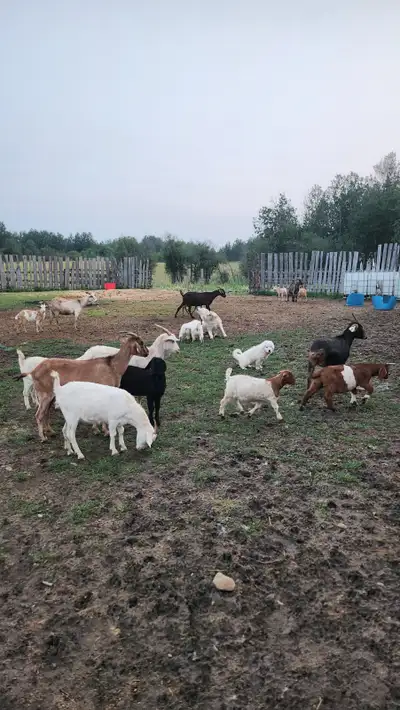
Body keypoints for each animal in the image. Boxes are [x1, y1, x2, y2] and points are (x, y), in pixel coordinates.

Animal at [15, 332, 148, 441]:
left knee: (45, 412)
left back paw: (50, 432)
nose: (147, 353)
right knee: (39, 414)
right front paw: (104, 431)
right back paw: (43, 438)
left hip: (50, 396)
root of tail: (33, 371)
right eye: (141, 342)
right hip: (45, 394)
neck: (111, 365)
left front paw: (96, 429)